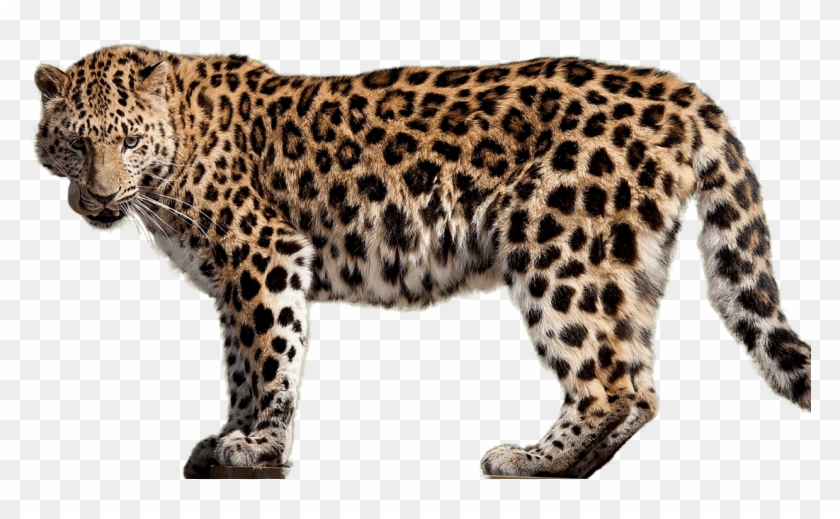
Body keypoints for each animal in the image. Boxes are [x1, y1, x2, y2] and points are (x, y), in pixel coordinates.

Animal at [34, 45, 811, 479]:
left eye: (129, 142)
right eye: (75, 143)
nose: (98, 197)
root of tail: (679, 91)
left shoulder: (266, 254)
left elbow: (271, 355)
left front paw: (259, 446)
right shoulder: (232, 280)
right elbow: (240, 363)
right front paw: (229, 435)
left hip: (558, 248)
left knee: (608, 381)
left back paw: (531, 462)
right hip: (625, 264)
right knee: (640, 381)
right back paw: (574, 467)